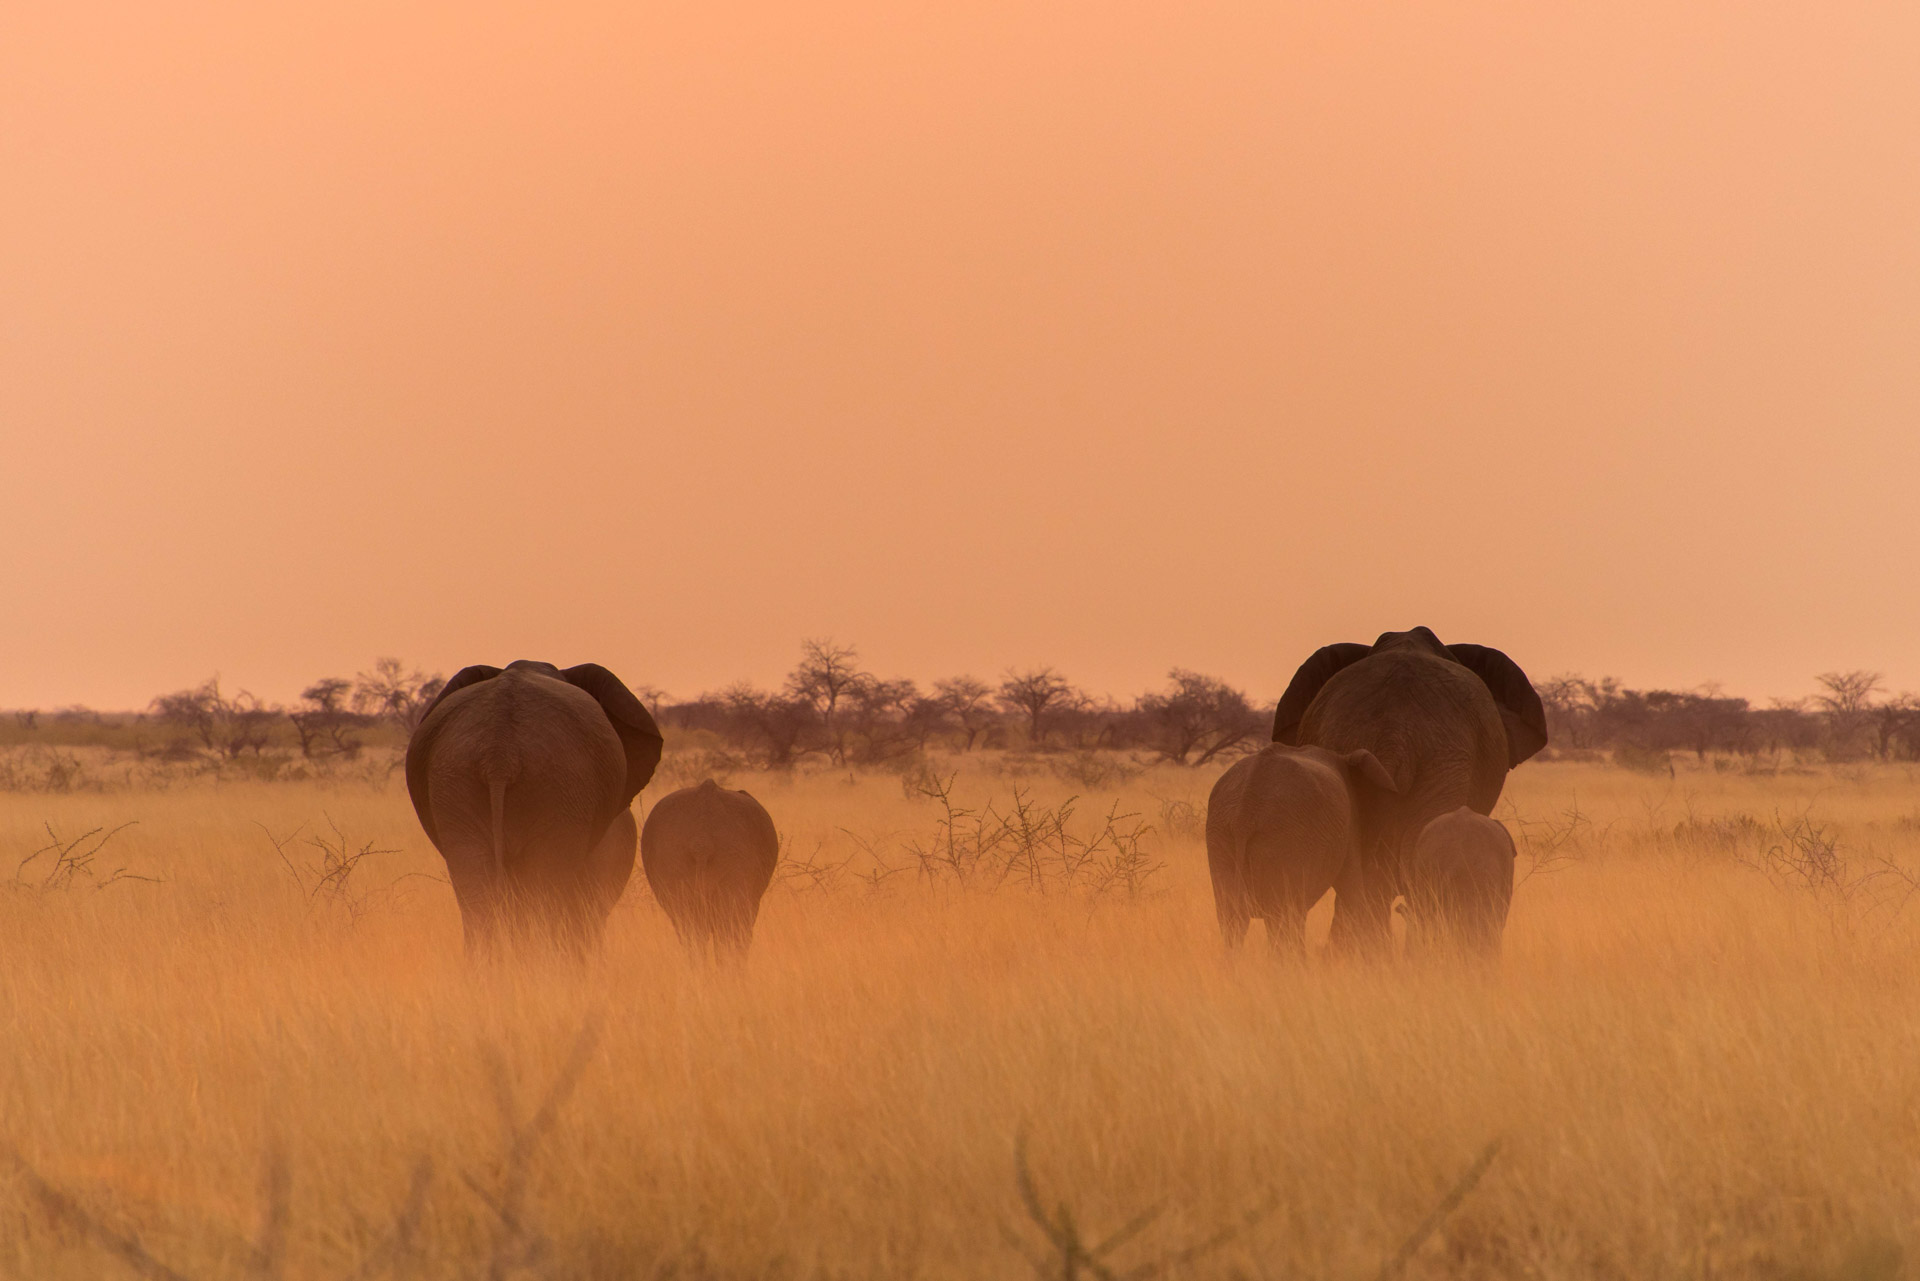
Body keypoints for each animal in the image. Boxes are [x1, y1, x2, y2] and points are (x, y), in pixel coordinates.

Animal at [1198, 741, 1397, 952]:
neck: (1345, 757)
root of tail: (1246, 808)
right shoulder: (1349, 824)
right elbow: (1353, 887)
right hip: (1284, 840)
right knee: (1283, 918)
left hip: (1221, 835)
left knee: (1233, 919)